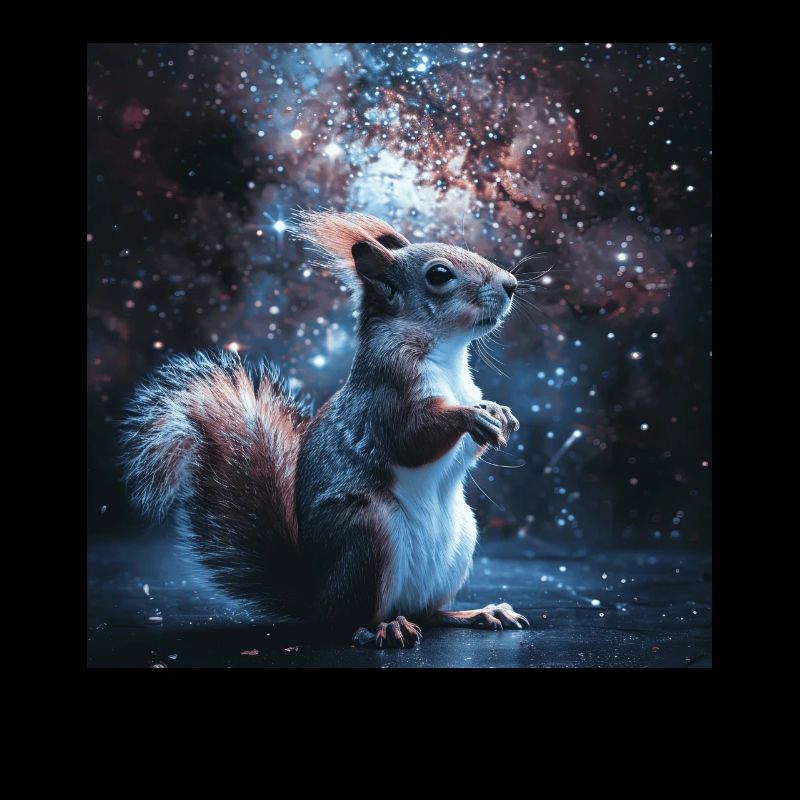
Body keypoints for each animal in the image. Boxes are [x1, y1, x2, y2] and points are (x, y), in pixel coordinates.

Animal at [121, 210, 530, 647]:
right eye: (439, 275)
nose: (510, 284)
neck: (445, 354)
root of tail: (318, 599)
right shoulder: (385, 394)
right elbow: (410, 438)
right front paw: (470, 416)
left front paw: (497, 411)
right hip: (368, 534)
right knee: (350, 620)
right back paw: (382, 628)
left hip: (458, 539)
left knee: (429, 613)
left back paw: (479, 613)